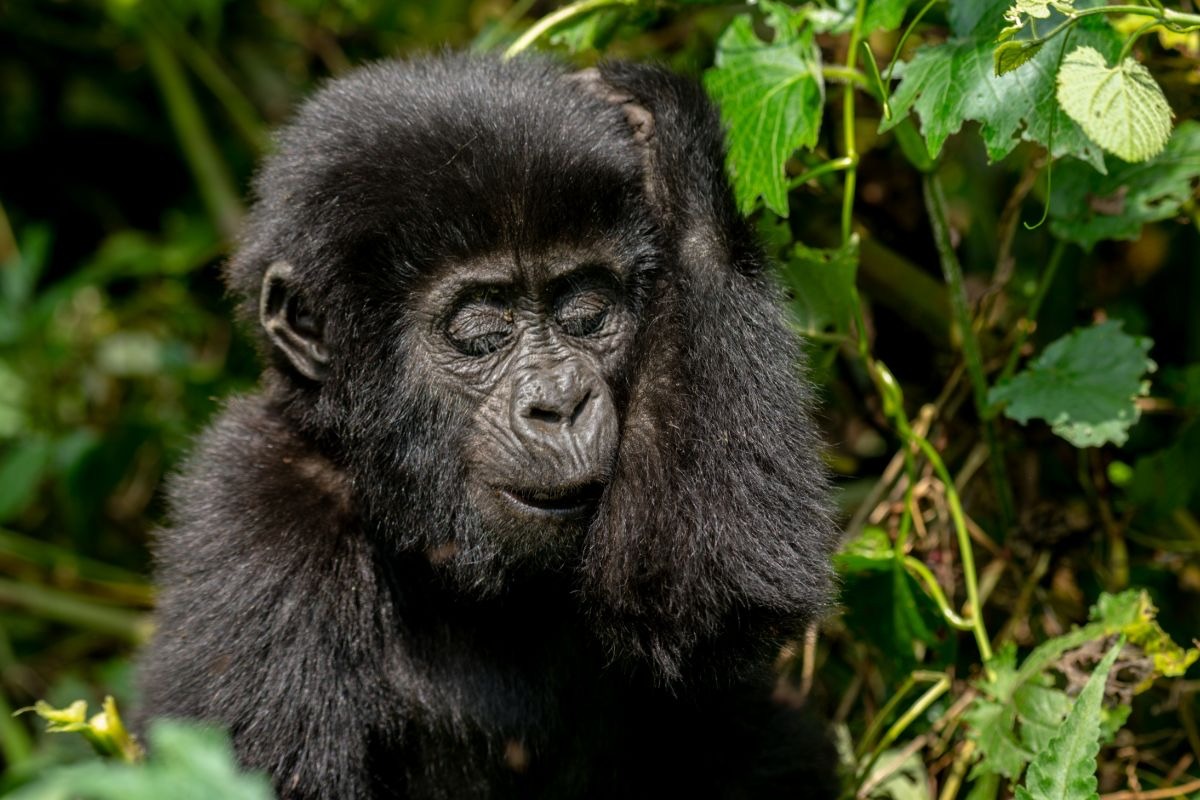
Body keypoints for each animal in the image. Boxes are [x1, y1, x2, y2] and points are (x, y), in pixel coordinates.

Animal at [137, 53, 840, 799]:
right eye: (481, 331)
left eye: (586, 312)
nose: (559, 402)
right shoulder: (257, 513)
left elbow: (699, 596)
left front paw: (666, 140)